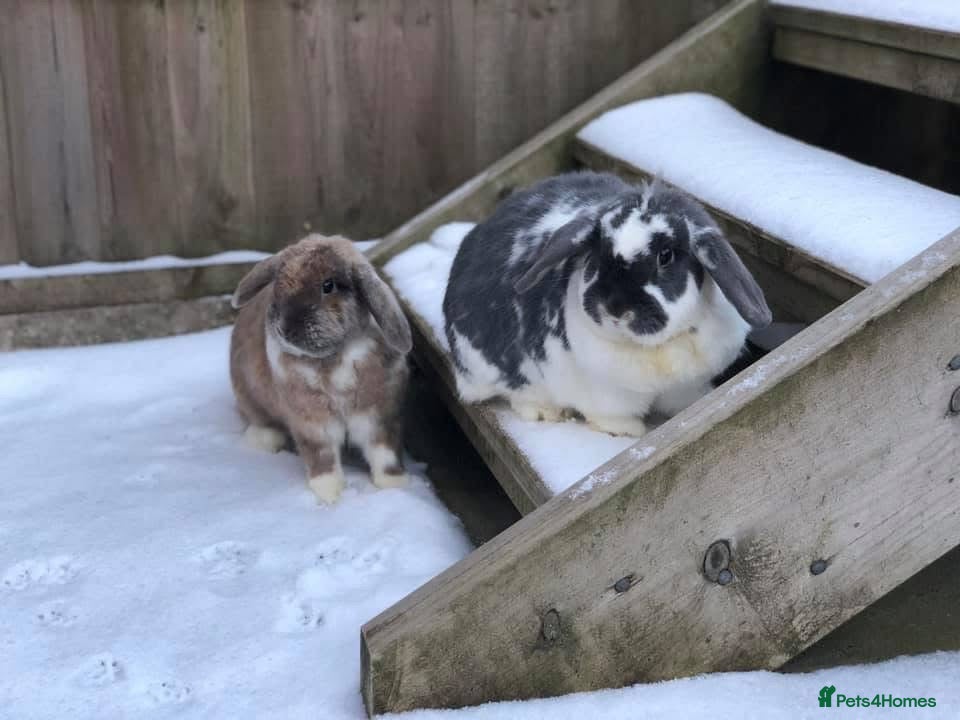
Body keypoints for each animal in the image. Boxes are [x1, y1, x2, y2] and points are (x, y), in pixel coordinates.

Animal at [229, 234, 413, 504]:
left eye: (329, 286)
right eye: (278, 284)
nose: (285, 328)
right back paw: (265, 440)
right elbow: (321, 456)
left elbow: (384, 452)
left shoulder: (379, 417)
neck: (334, 357)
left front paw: (394, 485)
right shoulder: (312, 423)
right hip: (249, 396)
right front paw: (329, 494)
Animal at [442, 171, 772, 437]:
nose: (615, 308)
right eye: (596, 256)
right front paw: (629, 433)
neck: (657, 348)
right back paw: (548, 412)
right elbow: (609, 416)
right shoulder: (605, 395)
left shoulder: (686, 386)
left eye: (666, 256)